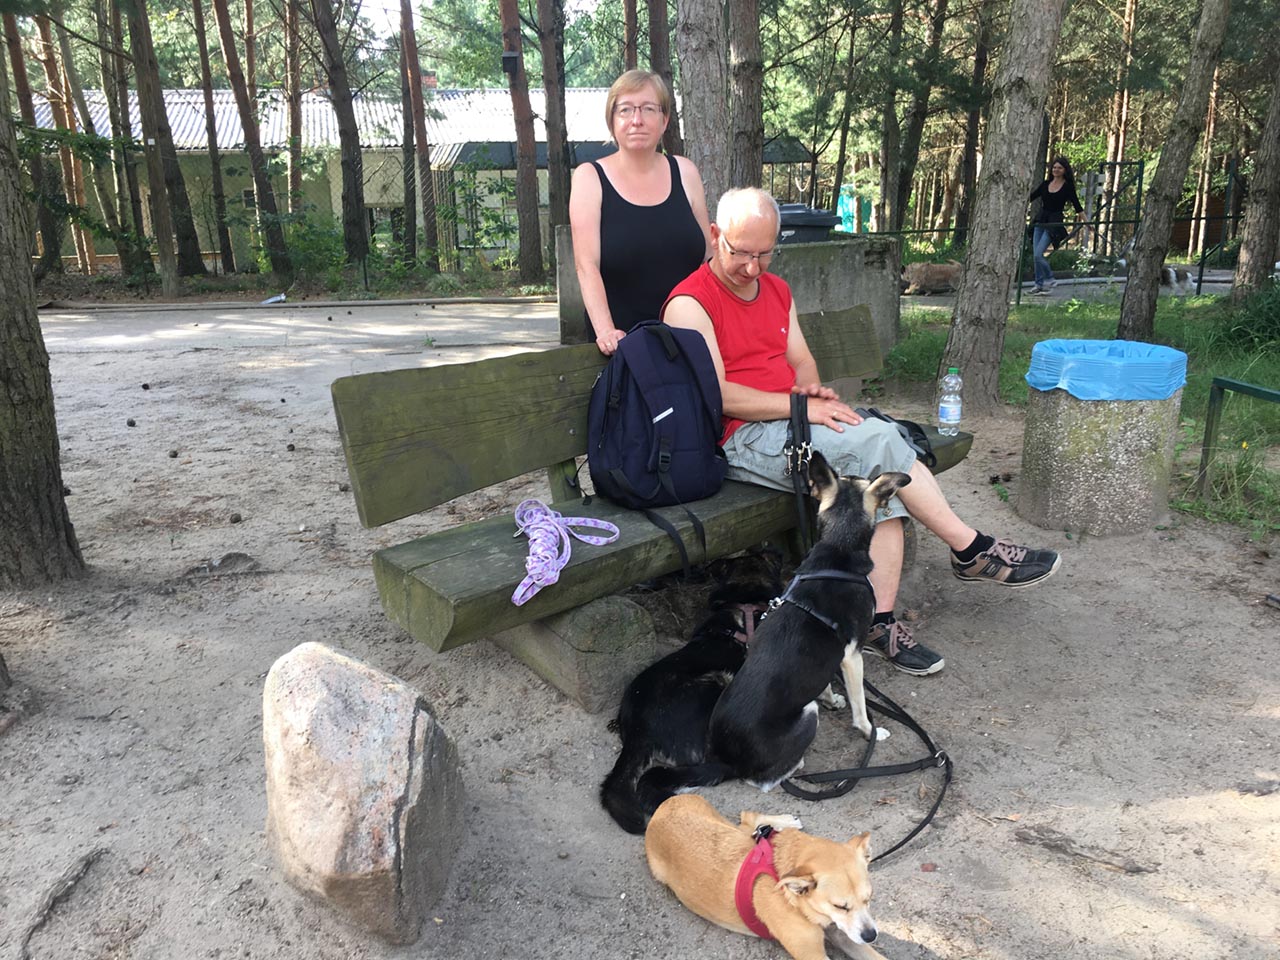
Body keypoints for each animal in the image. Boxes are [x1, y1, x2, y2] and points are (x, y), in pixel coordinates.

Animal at [646, 794, 887, 960]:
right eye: (840, 906)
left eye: (869, 899)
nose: (871, 936)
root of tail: (664, 806)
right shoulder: (813, 953)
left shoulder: (844, 933)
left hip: (737, 830)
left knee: (749, 818)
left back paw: (783, 822)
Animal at [649, 454, 910, 797]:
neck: (836, 550)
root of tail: (726, 763)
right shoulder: (852, 656)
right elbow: (860, 706)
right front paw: (871, 731)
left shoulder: (828, 659)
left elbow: (824, 685)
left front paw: (832, 700)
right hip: (807, 715)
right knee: (763, 780)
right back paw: (796, 766)